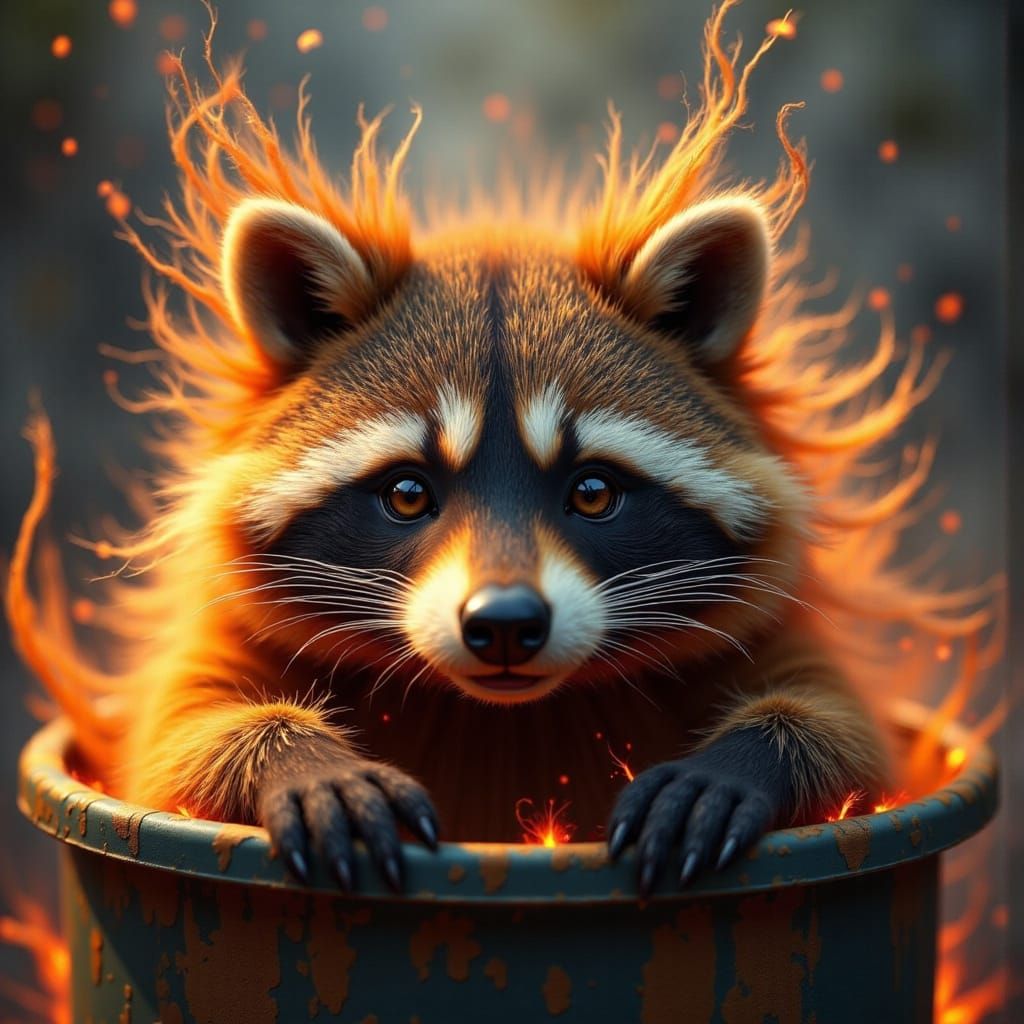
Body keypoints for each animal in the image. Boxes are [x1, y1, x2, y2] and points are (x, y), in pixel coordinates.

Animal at [12, 5, 947, 898]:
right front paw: (296, 757)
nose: (503, 625)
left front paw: (747, 756)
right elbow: (173, 740)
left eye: (594, 492)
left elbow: (850, 734)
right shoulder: (217, 643)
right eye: (408, 494)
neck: (499, 710)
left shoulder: (779, 638)